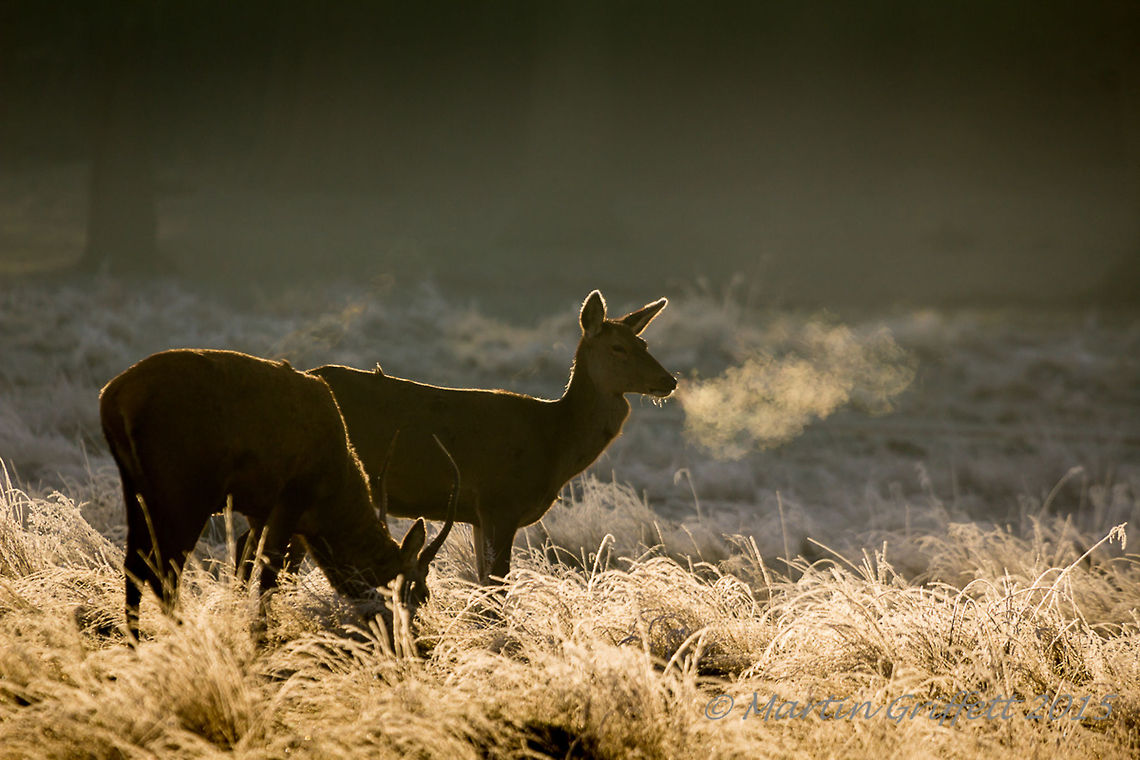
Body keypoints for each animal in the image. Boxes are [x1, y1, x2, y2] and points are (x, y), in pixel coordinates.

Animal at [99, 348, 456, 643]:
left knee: (135, 563)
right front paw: (260, 641)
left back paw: (135, 644)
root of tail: (113, 398)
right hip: (185, 491)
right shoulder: (291, 498)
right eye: (417, 592)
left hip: (135, 486)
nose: (414, 644)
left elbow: (248, 565)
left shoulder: (258, 510)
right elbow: (270, 577)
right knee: (165, 572)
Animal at [300, 290, 677, 583]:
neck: (553, 440)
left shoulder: (478, 514)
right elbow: (497, 591)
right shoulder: (500, 501)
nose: (669, 380)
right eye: (617, 348)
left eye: (643, 343)